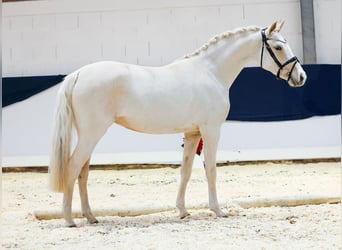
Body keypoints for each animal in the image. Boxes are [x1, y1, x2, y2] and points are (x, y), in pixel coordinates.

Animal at [48, 20, 308, 227]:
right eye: (278, 47)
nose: (301, 77)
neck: (210, 72)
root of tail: (78, 74)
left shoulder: (192, 134)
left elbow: (186, 171)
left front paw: (182, 211)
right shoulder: (211, 130)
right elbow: (211, 170)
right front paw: (217, 210)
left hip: (89, 135)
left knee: (82, 172)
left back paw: (90, 217)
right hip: (92, 133)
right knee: (73, 168)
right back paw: (69, 220)